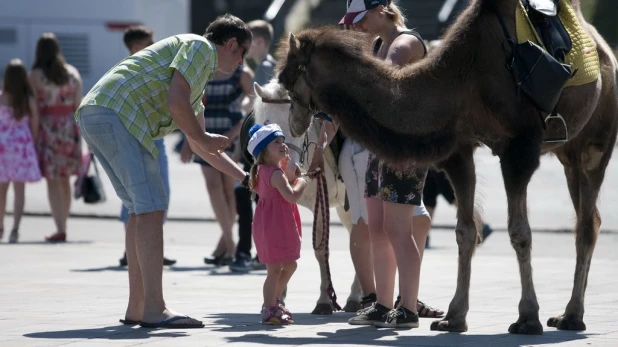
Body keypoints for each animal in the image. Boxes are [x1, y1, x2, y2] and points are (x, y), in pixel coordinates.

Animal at [245, 80, 364, 314]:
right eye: (267, 123)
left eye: (299, 125)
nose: (287, 166)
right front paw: (278, 298)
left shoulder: (322, 200)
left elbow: (320, 248)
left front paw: (324, 301)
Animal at [276, 0, 616, 338]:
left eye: (287, 78)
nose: (293, 124)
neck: (465, 80)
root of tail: (604, 49)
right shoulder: (459, 150)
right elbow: (465, 231)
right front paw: (453, 317)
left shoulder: (518, 149)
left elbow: (519, 232)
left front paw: (527, 319)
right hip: (568, 152)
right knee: (587, 215)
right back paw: (566, 314)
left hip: (596, 140)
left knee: (587, 222)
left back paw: (572, 316)